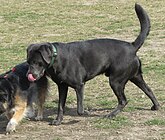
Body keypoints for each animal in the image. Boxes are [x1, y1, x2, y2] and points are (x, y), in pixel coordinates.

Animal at [26, 3, 160, 125]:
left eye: (37, 62)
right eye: (28, 62)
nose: (29, 75)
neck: (56, 57)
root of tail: (132, 46)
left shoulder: (79, 85)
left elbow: (80, 109)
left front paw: (86, 113)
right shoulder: (62, 86)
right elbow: (60, 106)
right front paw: (58, 121)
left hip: (115, 81)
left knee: (123, 101)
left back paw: (111, 115)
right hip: (135, 77)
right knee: (148, 90)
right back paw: (156, 106)